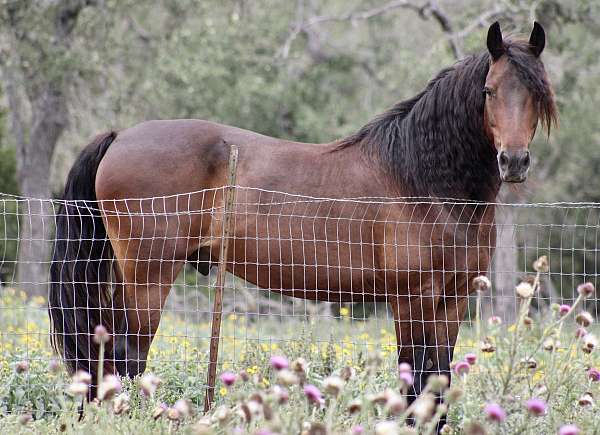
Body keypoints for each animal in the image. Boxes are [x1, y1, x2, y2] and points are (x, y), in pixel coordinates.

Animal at [49, 21, 556, 408]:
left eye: (537, 93)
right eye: (489, 90)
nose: (513, 161)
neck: (422, 179)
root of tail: (120, 136)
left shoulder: (453, 300)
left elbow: (439, 382)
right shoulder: (412, 300)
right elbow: (414, 383)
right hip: (149, 277)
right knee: (126, 357)